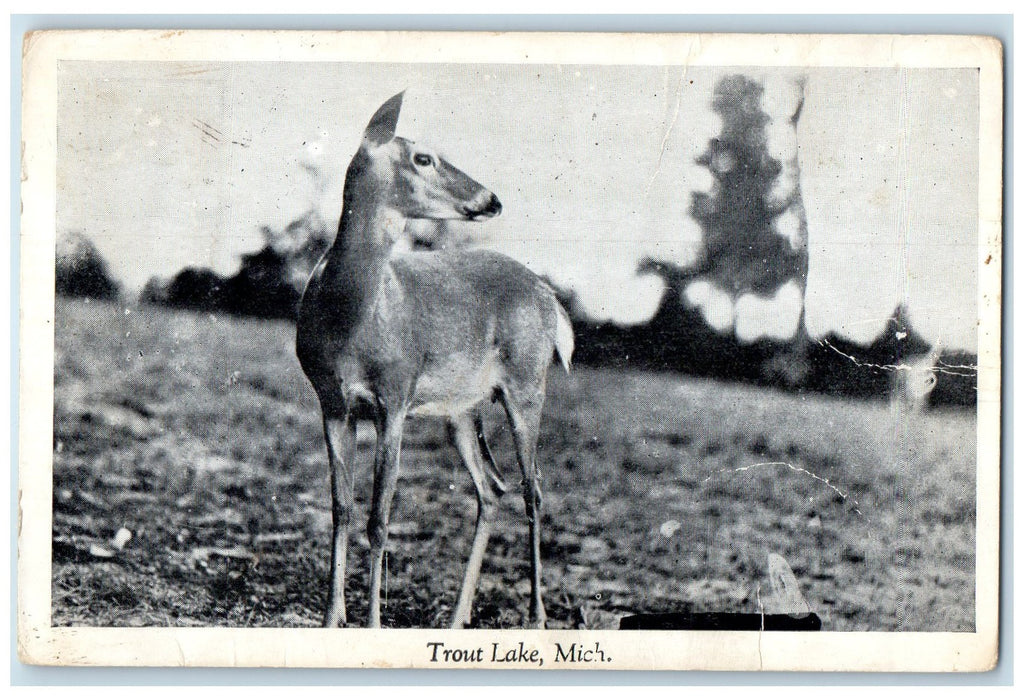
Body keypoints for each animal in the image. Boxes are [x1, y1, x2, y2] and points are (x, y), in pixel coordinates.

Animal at [295, 92, 574, 629]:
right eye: (423, 157)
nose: (492, 199)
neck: (350, 318)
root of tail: (551, 298)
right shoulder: (333, 404)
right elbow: (341, 508)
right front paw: (332, 618)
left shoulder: (395, 398)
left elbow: (379, 519)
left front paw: (372, 622)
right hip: (463, 409)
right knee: (492, 488)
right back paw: (457, 616)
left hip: (528, 384)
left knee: (533, 488)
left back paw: (536, 616)